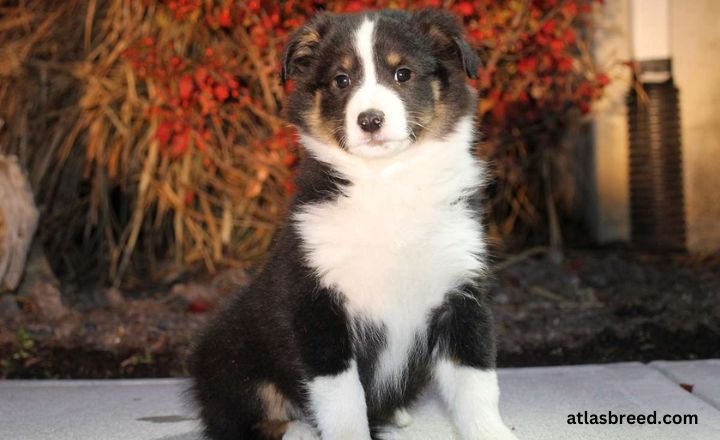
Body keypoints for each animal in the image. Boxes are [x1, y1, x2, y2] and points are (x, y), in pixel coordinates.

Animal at [188, 7, 516, 440]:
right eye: (341, 80)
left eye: (402, 73)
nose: (370, 120)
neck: (386, 182)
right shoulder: (318, 306)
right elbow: (343, 399)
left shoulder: (459, 291)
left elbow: (475, 382)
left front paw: (491, 431)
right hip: (233, 357)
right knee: (248, 420)